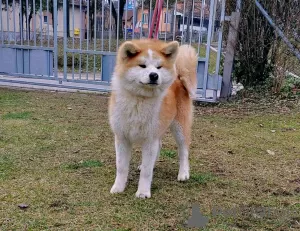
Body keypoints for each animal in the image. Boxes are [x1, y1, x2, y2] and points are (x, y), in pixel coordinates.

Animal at [108, 38, 197, 198]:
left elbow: (146, 171)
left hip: (179, 128)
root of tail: (178, 78)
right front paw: (118, 187)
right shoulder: (122, 138)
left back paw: (183, 173)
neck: (139, 99)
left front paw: (143, 192)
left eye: (159, 67)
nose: (154, 75)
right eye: (142, 65)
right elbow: (122, 167)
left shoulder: (150, 139)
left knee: (183, 151)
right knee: (160, 146)